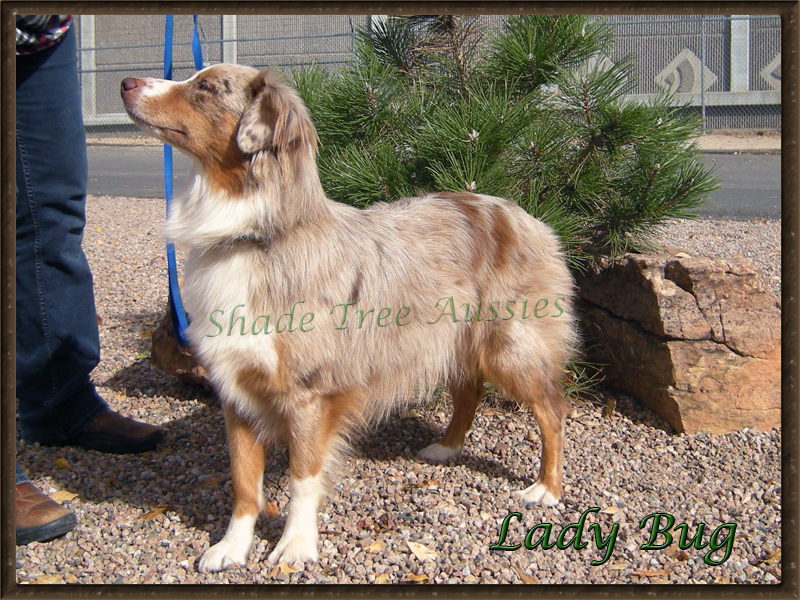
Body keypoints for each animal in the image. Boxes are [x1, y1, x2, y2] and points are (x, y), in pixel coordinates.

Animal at [120, 65, 576, 572]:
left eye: (205, 88)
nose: (125, 84)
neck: (256, 235)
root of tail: (527, 216)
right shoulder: (236, 391)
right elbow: (243, 482)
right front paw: (232, 547)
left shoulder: (308, 395)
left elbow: (302, 477)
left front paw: (296, 546)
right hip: (452, 341)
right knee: (469, 392)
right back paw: (448, 446)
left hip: (510, 347)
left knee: (552, 412)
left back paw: (547, 489)